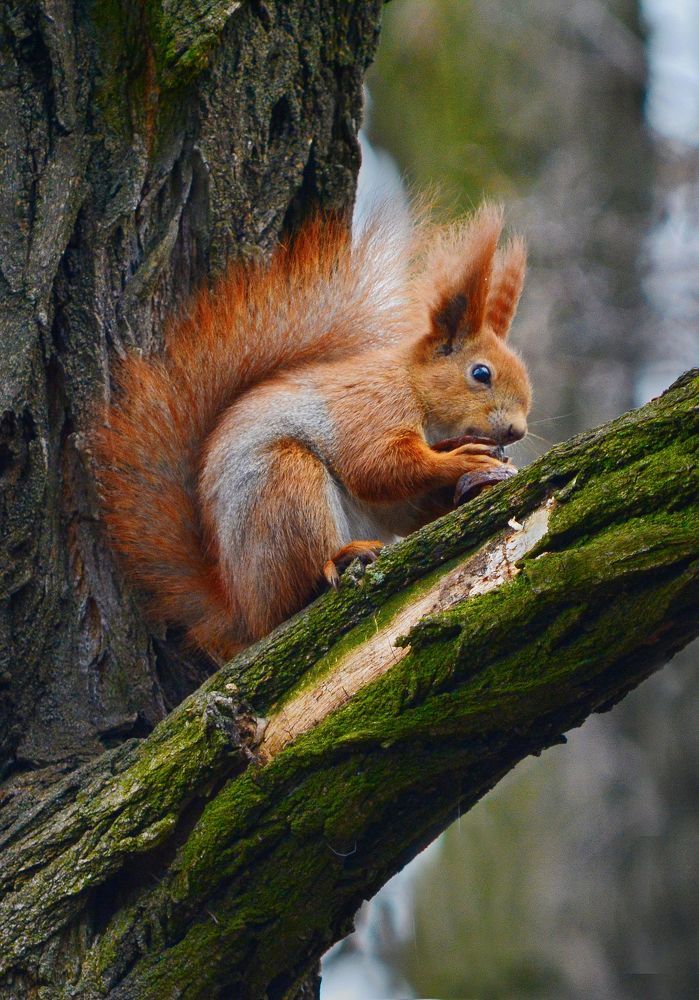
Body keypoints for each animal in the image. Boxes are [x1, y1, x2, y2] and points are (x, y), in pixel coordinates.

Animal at [94, 202, 531, 662]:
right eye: (480, 373)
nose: (517, 430)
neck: (414, 387)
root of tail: (243, 610)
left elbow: (405, 505)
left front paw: (475, 473)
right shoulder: (372, 407)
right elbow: (377, 468)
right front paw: (461, 460)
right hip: (286, 484)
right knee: (297, 591)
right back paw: (340, 559)